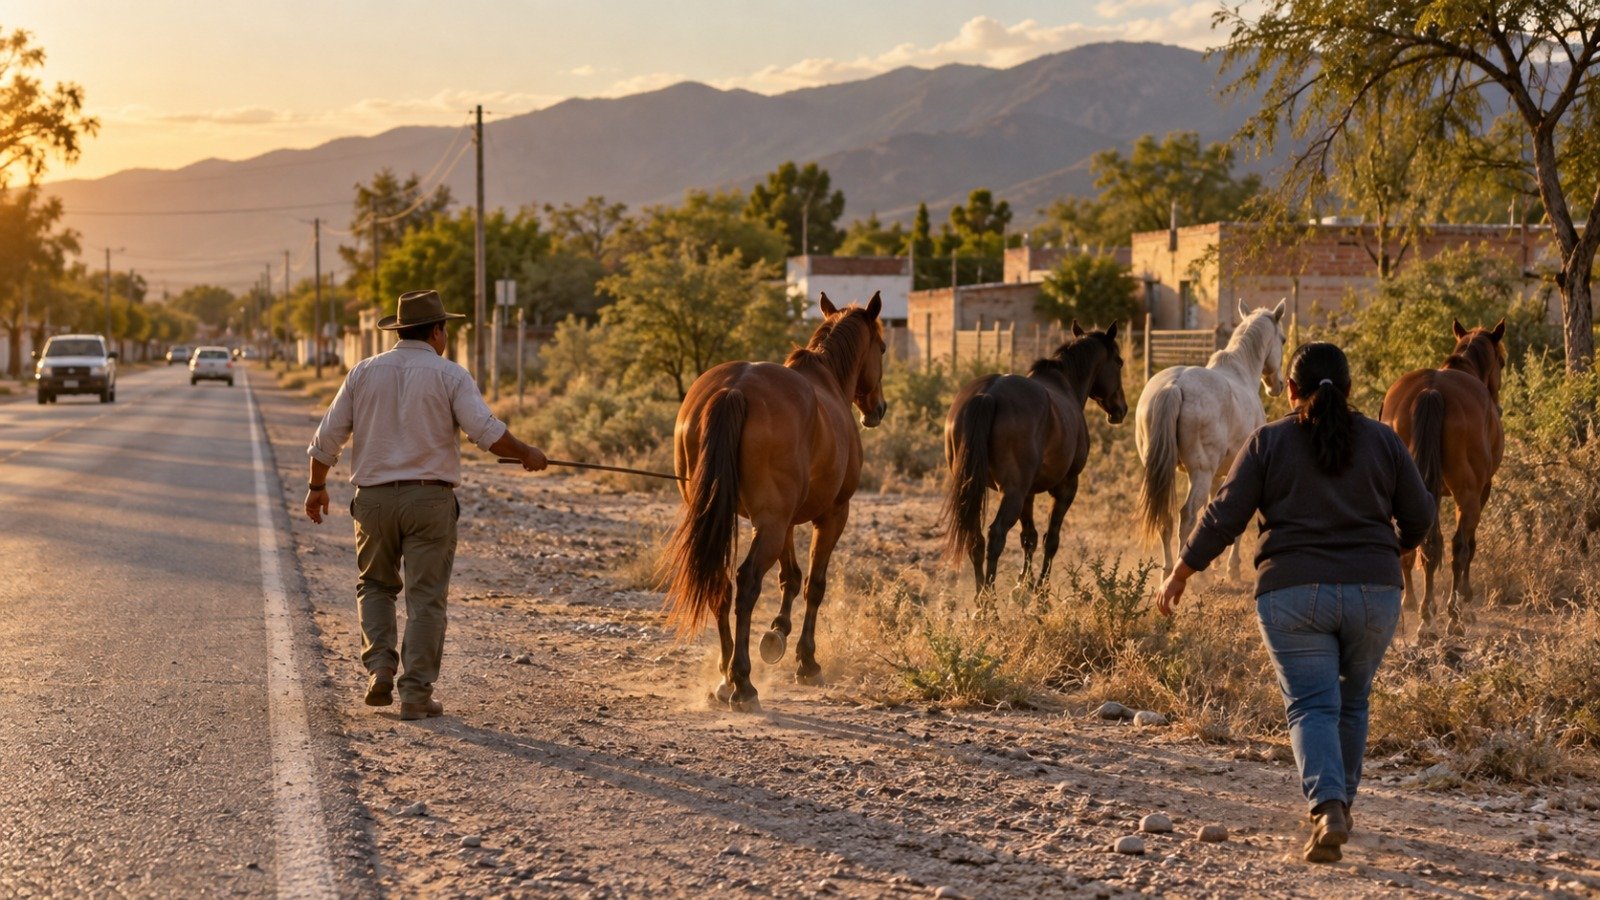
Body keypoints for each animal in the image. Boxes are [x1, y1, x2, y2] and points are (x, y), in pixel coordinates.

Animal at [663, 292, 886, 712]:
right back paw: (743, 683)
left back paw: (725, 677)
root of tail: (734, 389)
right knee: (747, 582)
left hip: (737, 518)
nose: (878, 409)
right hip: (775, 522)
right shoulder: (831, 515)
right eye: (882, 347)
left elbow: (790, 576)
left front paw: (777, 633)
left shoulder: (779, 521)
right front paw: (806, 661)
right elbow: (814, 584)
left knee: (721, 583)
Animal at [940, 322, 1128, 593]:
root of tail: (988, 394)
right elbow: (1051, 538)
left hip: (976, 489)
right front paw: (1040, 591)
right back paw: (989, 601)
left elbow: (1029, 537)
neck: (1065, 384)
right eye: (1119, 362)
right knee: (996, 536)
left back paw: (980, 596)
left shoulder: (1028, 492)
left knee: (976, 539)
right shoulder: (1066, 486)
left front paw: (1023, 584)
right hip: (1013, 493)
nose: (1121, 410)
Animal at [1136, 299, 1288, 577]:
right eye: (1282, 339)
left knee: (1167, 517)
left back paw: (1169, 571)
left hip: (1162, 470)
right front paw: (1232, 569)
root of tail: (1173, 386)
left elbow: (1211, 513)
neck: (1241, 373)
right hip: (1200, 472)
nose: (1277, 386)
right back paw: (1197, 579)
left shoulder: (1218, 475)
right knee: (1187, 516)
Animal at [1379, 319, 1505, 637]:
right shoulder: (1482, 491)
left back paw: (1422, 613)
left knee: (1422, 543)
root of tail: (1431, 390)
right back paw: (1453, 616)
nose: (1498, 406)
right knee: (1459, 546)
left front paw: (1412, 601)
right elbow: (1469, 545)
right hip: (1468, 494)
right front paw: (1466, 601)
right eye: (1501, 361)